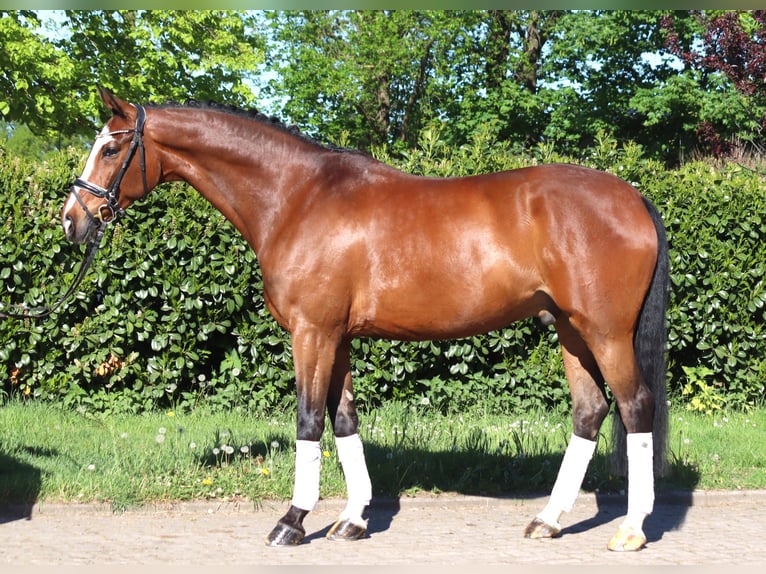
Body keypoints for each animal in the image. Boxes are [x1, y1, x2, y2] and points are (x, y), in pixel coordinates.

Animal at [62, 88, 669, 552]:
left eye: (111, 148)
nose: (72, 220)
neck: (297, 199)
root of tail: (634, 198)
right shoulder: (338, 338)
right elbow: (344, 419)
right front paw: (351, 519)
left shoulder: (312, 333)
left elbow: (309, 419)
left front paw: (291, 521)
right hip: (570, 331)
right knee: (589, 412)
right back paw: (547, 521)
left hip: (605, 332)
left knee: (635, 406)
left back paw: (632, 530)